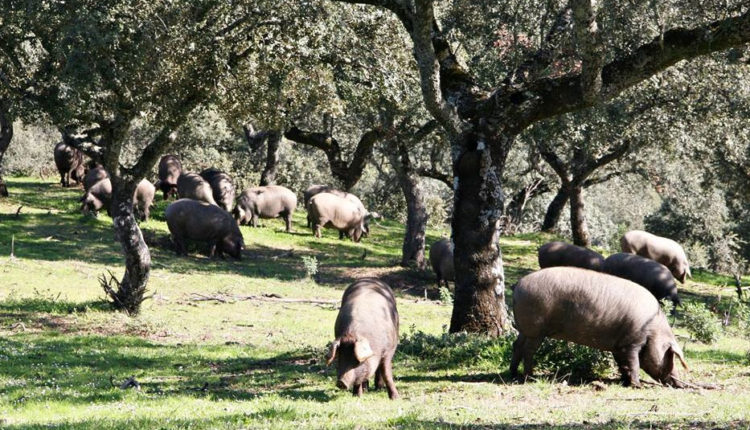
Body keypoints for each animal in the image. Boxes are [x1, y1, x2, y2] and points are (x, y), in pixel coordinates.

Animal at [510, 267, 689, 388]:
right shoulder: (632, 342)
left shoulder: (619, 346)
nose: (679, 384)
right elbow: (634, 363)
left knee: (516, 345)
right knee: (528, 350)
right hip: (536, 329)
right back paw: (530, 377)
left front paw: (624, 381)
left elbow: (623, 364)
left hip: (524, 329)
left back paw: (513, 374)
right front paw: (637, 385)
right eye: (670, 356)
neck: (653, 329)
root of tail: (518, 284)